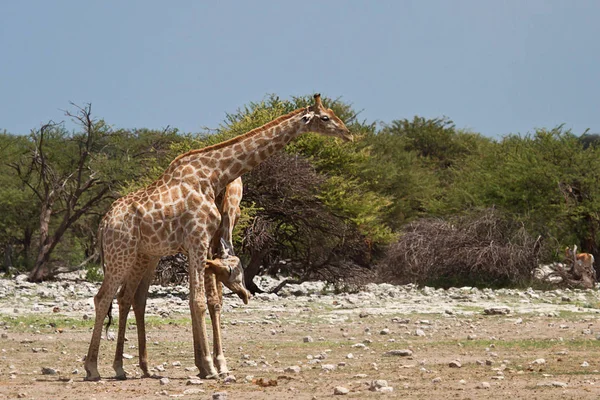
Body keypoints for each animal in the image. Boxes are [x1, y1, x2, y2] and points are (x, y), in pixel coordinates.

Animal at [82, 94, 350, 382]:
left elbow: (204, 300)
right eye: (325, 118)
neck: (213, 175)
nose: (347, 133)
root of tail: (103, 224)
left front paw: (206, 364)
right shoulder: (198, 239)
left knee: (129, 298)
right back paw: (93, 368)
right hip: (121, 254)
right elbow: (199, 301)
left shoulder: (201, 244)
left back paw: (124, 367)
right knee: (103, 298)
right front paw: (210, 367)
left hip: (144, 254)